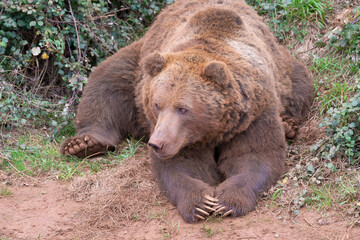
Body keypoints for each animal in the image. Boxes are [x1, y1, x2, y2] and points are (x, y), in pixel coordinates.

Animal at [59, 0, 312, 223]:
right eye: (157, 104)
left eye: (183, 108)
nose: (156, 143)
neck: (213, 130)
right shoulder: (180, 136)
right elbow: (182, 165)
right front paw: (201, 203)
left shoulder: (254, 113)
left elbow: (255, 154)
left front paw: (227, 201)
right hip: (139, 64)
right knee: (106, 80)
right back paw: (83, 144)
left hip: (284, 67)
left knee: (300, 84)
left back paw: (288, 125)